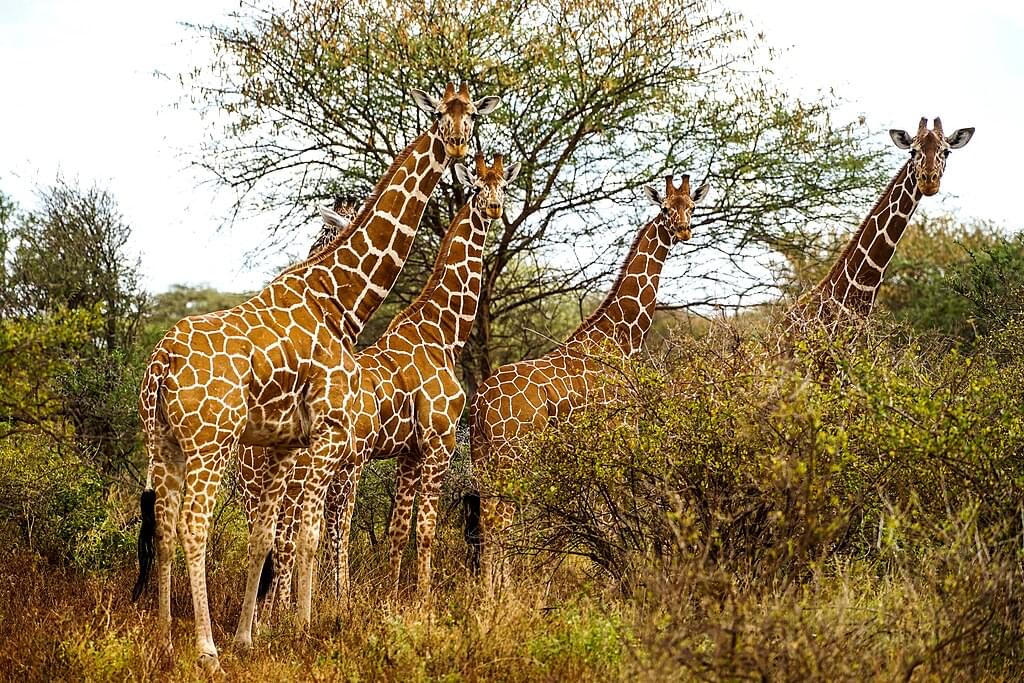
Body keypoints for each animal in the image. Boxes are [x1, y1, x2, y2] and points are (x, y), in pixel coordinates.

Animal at [239, 152, 520, 606]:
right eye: (477, 187)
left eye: (504, 186)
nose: (494, 208)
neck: (443, 333)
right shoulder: (438, 442)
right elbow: (423, 530)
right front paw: (422, 603)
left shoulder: (409, 451)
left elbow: (397, 530)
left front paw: (389, 598)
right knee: (285, 536)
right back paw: (282, 611)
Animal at [468, 174, 708, 589]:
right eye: (665, 208)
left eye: (691, 206)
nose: (683, 230)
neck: (622, 337)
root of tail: (480, 402)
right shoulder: (619, 431)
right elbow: (613, 514)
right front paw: (615, 582)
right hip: (514, 455)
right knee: (500, 520)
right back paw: (503, 594)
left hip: (483, 457)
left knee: (486, 518)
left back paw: (489, 592)